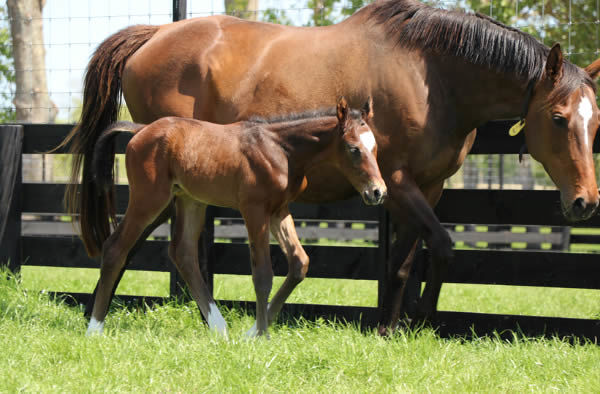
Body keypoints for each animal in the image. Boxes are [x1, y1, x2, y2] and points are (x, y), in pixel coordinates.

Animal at [85, 97, 384, 336]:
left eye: (375, 148)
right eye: (353, 148)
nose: (378, 191)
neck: (281, 149)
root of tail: (141, 130)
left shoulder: (279, 210)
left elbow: (299, 263)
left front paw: (252, 332)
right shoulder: (254, 209)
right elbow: (262, 274)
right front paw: (261, 335)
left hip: (191, 200)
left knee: (183, 253)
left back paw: (219, 328)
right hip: (149, 199)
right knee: (115, 248)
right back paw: (95, 329)